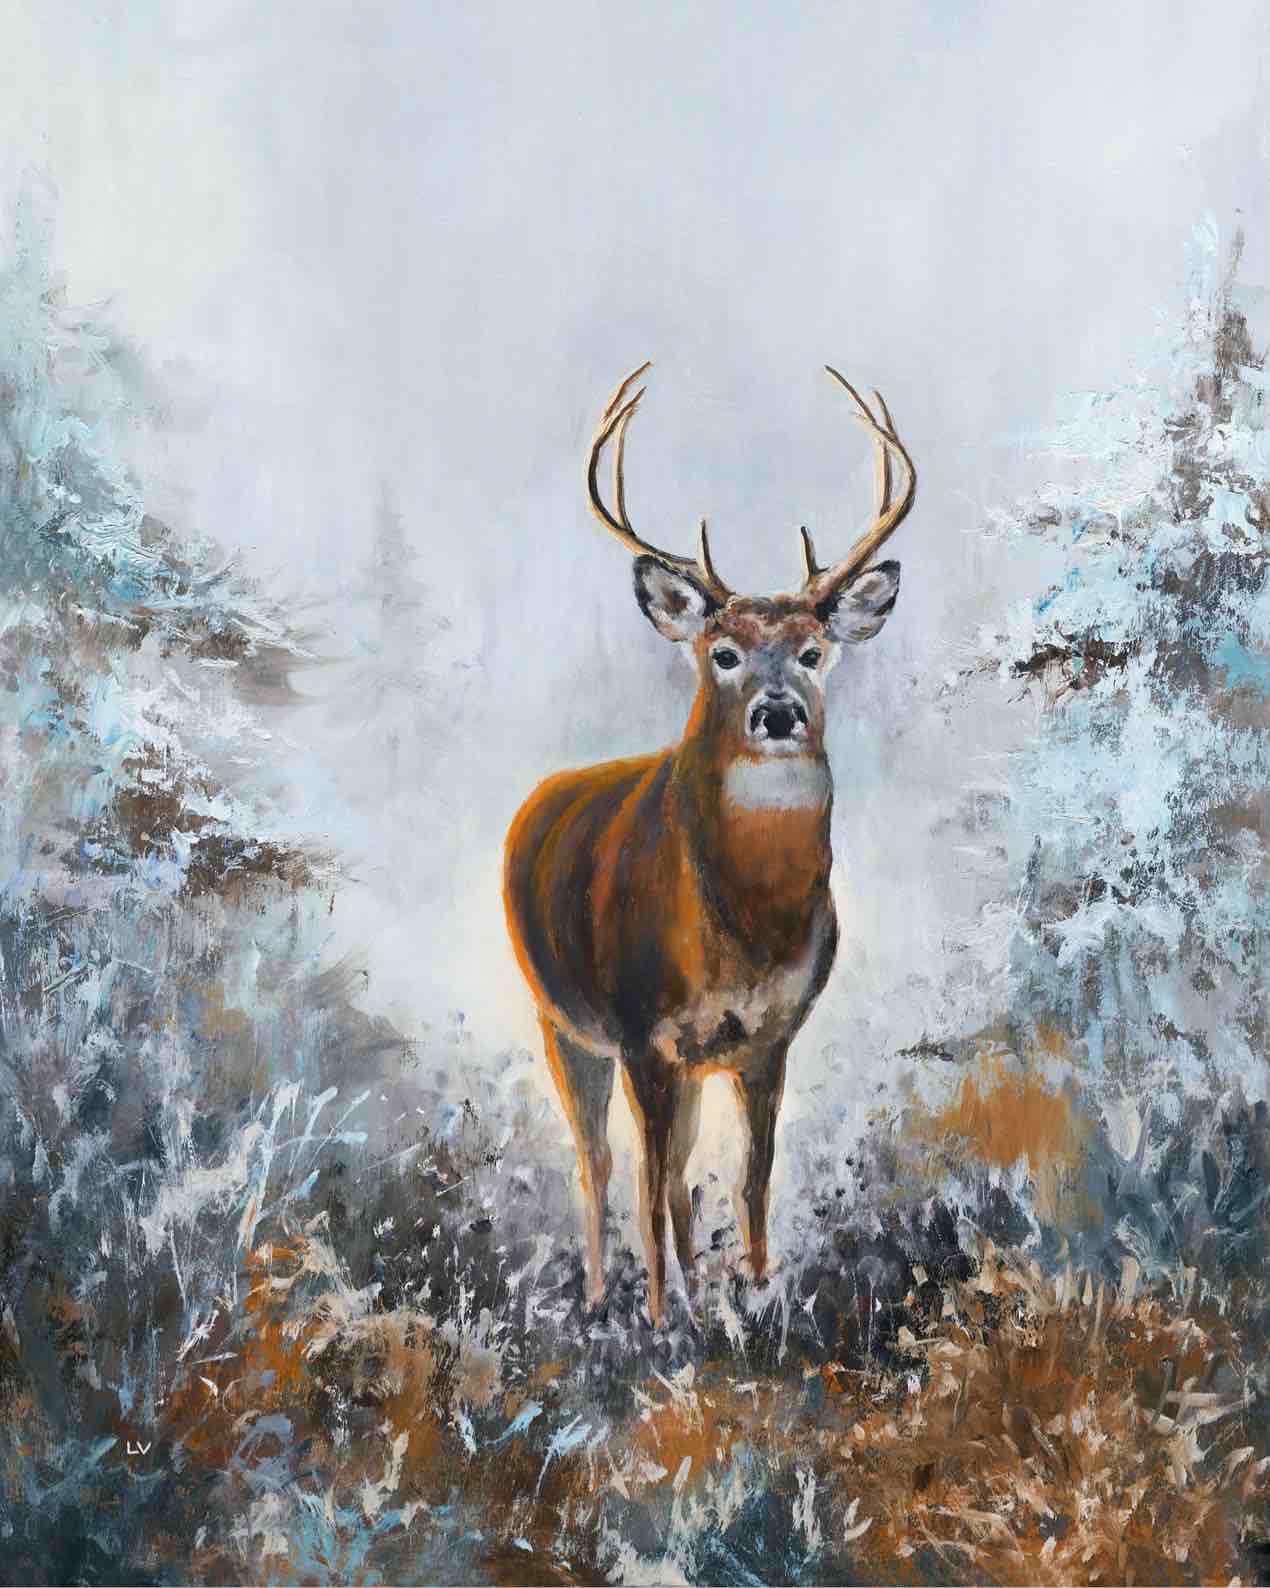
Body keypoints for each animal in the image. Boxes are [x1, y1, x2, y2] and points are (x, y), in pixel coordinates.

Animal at [503, 362, 916, 1325]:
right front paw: (659, 1322)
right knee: (601, 1162)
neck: (742, 928)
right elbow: (649, 1187)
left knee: (678, 1167)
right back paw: (603, 1296)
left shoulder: (768, 1037)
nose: (778, 713)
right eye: (722, 652)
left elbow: (752, 1179)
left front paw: (757, 1298)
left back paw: (693, 1293)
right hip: (560, 1019)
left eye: (813, 650)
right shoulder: (640, 1029)